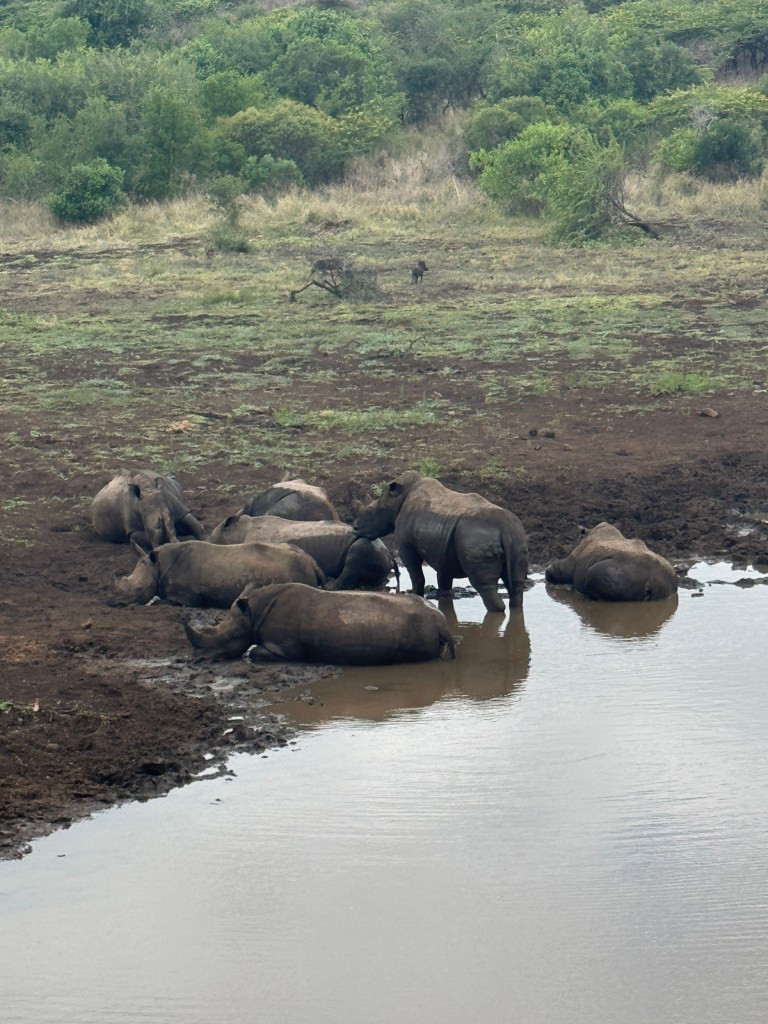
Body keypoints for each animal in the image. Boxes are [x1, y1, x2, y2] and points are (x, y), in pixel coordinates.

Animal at [110, 539, 325, 608]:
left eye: (139, 588)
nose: (113, 603)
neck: (158, 566)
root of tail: (312, 562)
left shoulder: (186, 597)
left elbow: (160, 601)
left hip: (295, 567)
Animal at [183, 582, 456, 663]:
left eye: (224, 638)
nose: (195, 660)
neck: (252, 613)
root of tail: (442, 624)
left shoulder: (284, 648)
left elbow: (255, 653)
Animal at [208, 513, 394, 590]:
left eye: (210, 542)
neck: (235, 532)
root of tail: (389, 554)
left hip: (367, 544)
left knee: (357, 552)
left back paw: (329, 587)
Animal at [353, 471, 528, 613]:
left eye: (371, 511)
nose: (355, 528)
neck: (398, 498)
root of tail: (504, 528)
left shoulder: (406, 545)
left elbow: (416, 574)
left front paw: (414, 595)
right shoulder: (444, 547)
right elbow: (444, 577)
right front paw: (443, 599)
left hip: (476, 538)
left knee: (484, 586)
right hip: (517, 536)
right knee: (517, 585)